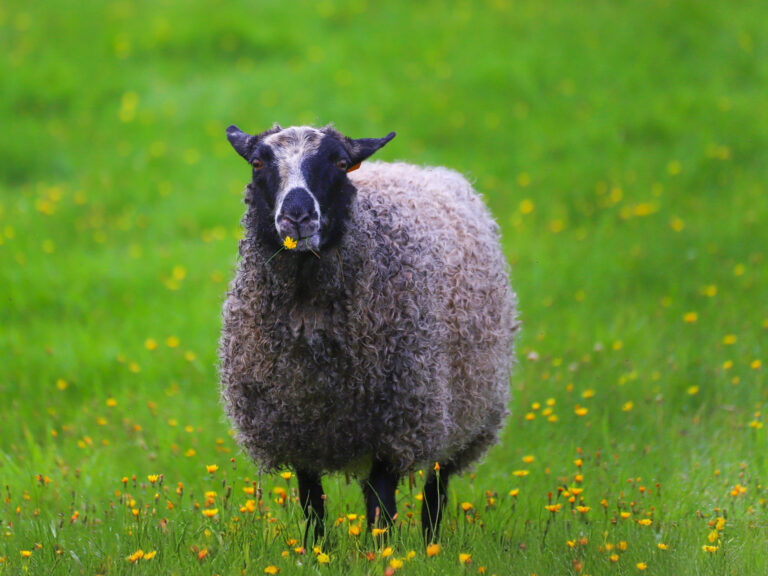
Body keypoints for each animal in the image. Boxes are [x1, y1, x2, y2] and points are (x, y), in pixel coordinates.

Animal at [219, 124, 520, 544]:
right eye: (258, 162)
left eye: (341, 163)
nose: (298, 216)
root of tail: (414, 167)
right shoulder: (296, 425)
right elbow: (312, 504)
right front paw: (316, 551)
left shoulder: (396, 425)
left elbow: (382, 506)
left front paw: (383, 552)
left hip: (461, 413)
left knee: (436, 491)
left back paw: (431, 545)